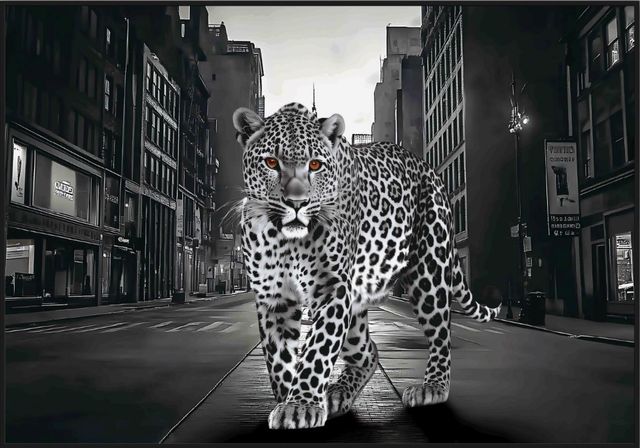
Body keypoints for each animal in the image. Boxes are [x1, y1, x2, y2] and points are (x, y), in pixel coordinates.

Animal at [232, 102, 501, 430]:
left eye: (315, 165)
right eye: (271, 162)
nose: (297, 203)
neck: (288, 241)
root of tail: (430, 170)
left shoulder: (332, 289)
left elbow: (316, 351)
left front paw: (300, 404)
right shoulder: (275, 297)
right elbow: (280, 357)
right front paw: (291, 400)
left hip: (430, 271)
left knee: (440, 333)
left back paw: (432, 387)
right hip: (358, 308)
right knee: (369, 351)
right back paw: (337, 394)